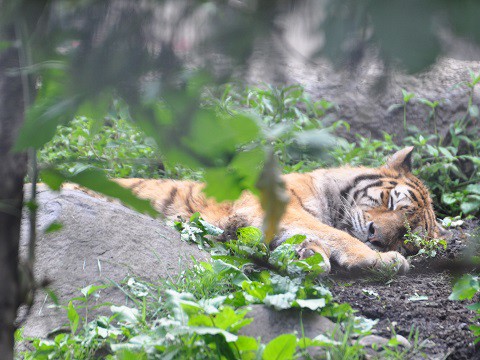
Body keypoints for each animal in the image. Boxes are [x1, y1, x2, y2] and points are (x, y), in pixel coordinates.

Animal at [78, 146, 438, 272]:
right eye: (388, 201)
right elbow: (335, 234)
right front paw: (381, 260)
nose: (377, 237)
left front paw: (306, 255)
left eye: (406, 238)